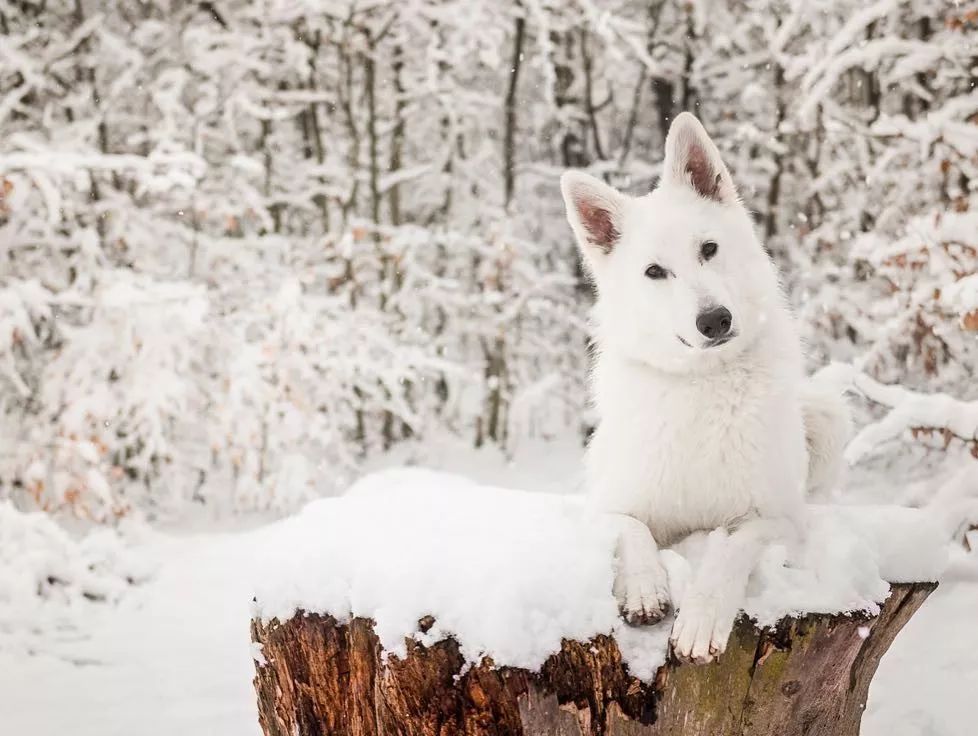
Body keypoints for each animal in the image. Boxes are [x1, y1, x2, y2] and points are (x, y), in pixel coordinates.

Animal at [560, 112, 852, 664]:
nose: (715, 320)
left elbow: (733, 546)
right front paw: (646, 589)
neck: (703, 383)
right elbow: (632, 528)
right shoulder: (603, 508)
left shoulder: (779, 518)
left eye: (709, 250)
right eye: (655, 271)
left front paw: (701, 620)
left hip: (823, 416)